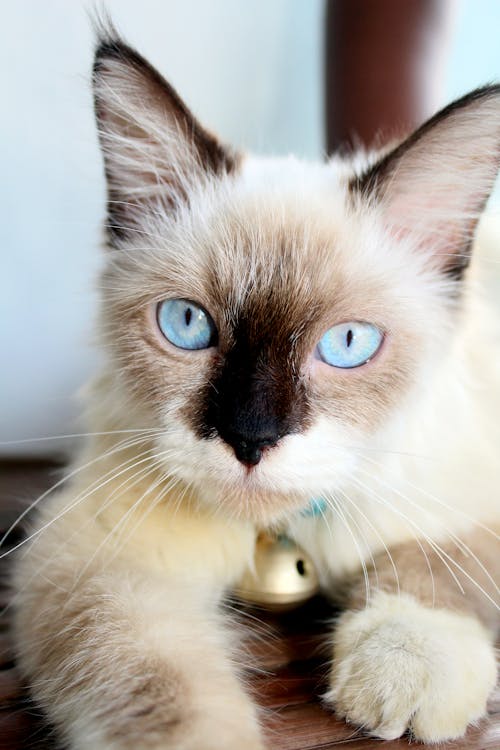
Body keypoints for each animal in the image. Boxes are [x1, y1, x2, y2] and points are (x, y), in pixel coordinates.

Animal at [9, 25, 498, 750]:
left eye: (346, 344)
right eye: (187, 325)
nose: (249, 439)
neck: (282, 533)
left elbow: (433, 560)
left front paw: (406, 668)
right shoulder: (100, 560)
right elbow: (161, 692)